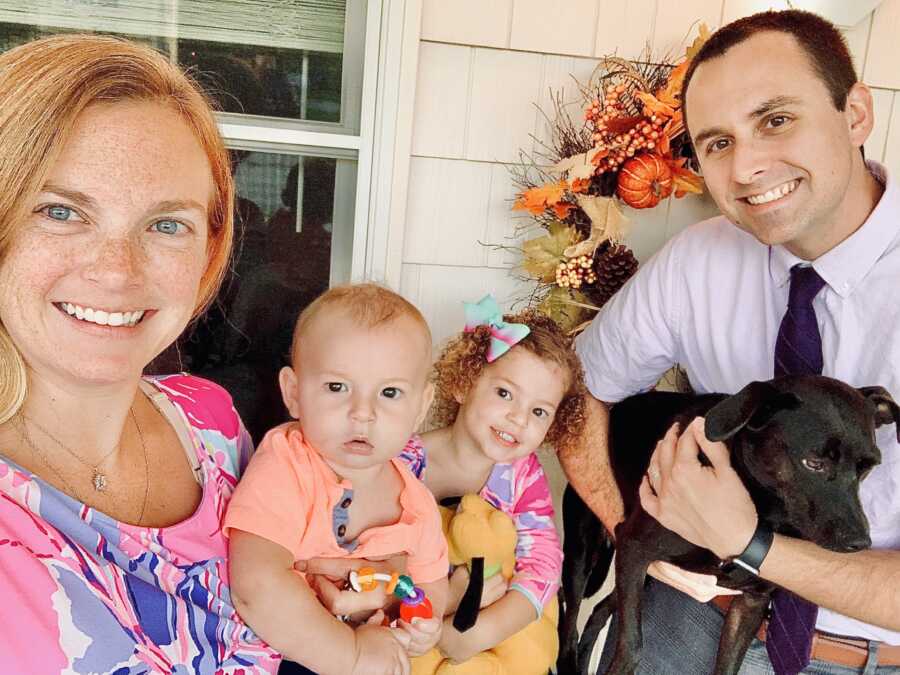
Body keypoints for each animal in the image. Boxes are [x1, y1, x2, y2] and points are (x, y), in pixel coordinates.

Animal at [560, 378, 896, 672]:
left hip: (645, 577)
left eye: (867, 468)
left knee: (598, 611)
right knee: (570, 614)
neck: (760, 508)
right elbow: (632, 646)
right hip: (583, 552)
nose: (860, 543)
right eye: (814, 463)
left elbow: (728, 665)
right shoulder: (633, 548)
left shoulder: (751, 602)